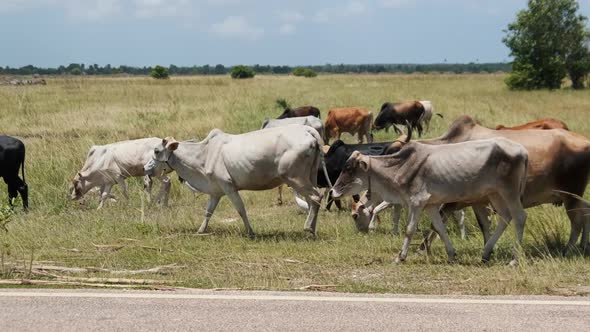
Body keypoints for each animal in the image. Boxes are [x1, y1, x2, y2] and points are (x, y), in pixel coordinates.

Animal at [332, 137, 532, 264]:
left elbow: (410, 230)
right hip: (495, 194)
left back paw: (514, 259)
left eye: (349, 168)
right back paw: (485, 253)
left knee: (519, 217)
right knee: (505, 217)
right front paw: (451, 255)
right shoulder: (431, 205)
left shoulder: (417, 203)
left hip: (509, 192)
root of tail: (522, 150)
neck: (401, 167)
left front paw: (400, 257)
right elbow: (440, 228)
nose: (333, 191)